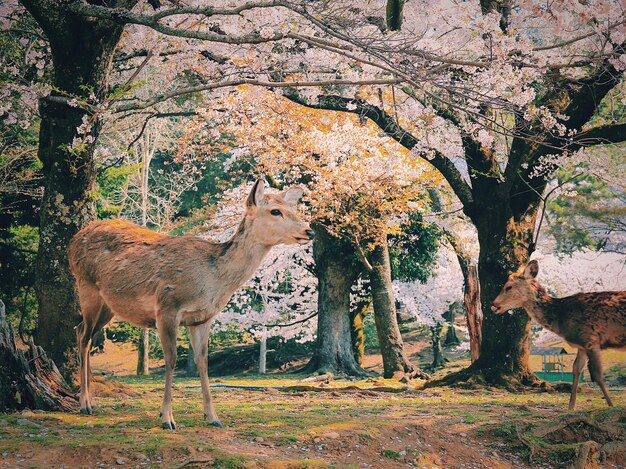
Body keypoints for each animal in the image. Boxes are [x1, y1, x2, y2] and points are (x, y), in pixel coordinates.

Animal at [68, 179, 312, 428]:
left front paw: (213, 417)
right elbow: (172, 358)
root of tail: (73, 240)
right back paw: (85, 404)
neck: (213, 280)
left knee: (81, 331)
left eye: (294, 209)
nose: (309, 231)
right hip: (87, 288)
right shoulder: (167, 306)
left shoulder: (202, 318)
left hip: (109, 306)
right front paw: (167, 418)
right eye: (275, 211)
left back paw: (91, 400)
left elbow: (202, 361)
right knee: (84, 338)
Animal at [490, 260, 620, 410]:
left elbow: (597, 375)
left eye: (508, 287)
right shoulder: (582, 344)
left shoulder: (591, 339)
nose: (494, 304)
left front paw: (612, 406)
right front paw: (570, 407)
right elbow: (576, 369)